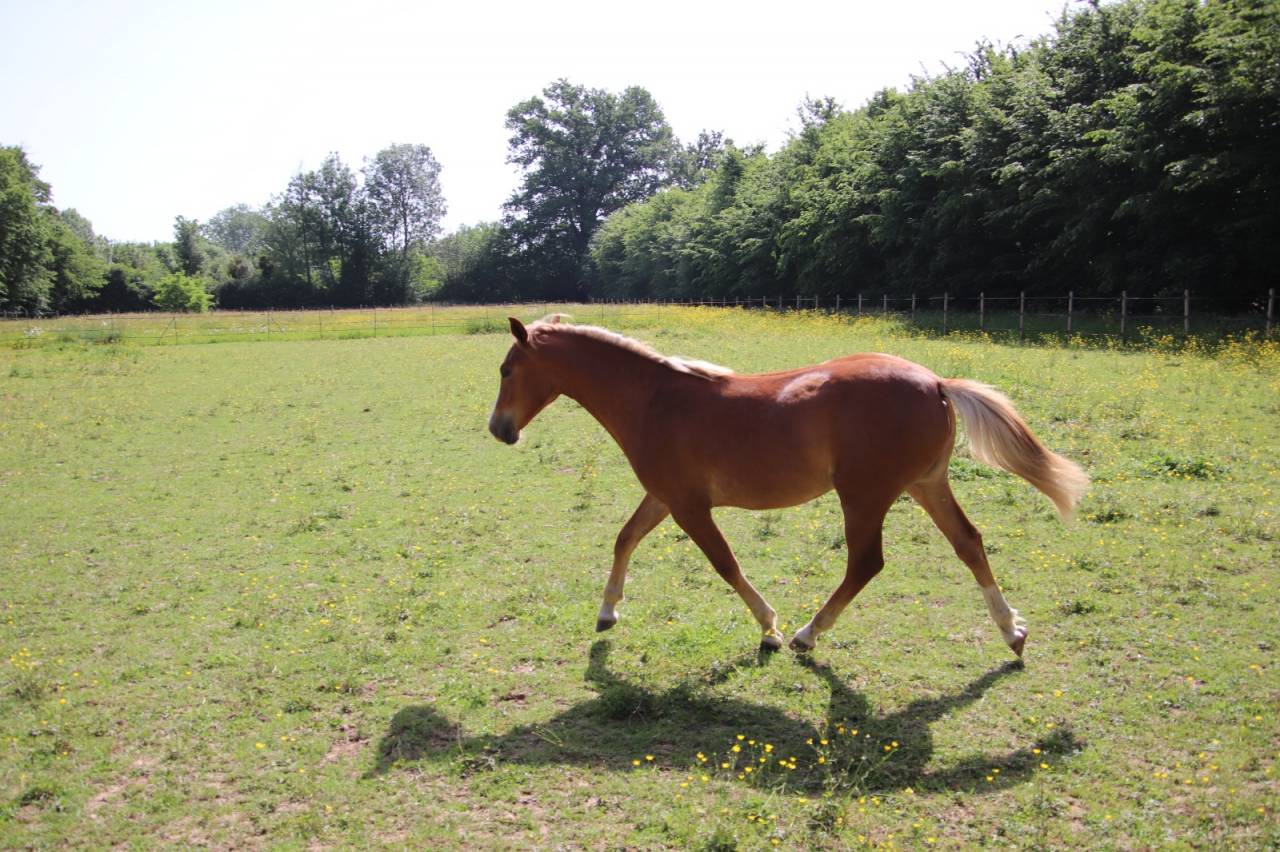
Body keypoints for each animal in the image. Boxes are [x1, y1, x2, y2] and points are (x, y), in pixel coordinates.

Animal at [488, 315, 1087, 656]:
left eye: (506, 370)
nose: (499, 429)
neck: (654, 400)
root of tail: (937, 382)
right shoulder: (663, 497)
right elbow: (624, 538)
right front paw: (608, 611)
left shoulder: (689, 506)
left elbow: (725, 565)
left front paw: (770, 628)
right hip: (926, 484)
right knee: (969, 542)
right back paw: (1011, 633)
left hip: (865, 495)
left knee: (866, 563)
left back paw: (806, 635)